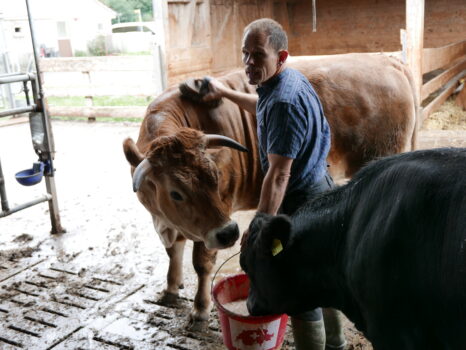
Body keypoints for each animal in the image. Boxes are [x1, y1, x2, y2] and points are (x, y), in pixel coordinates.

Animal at [122, 52, 416, 328]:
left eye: (216, 178)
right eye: (175, 192)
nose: (230, 233)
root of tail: (386, 60)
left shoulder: (219, 212)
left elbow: (201, 262)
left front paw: (200, 310)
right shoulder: (172, 219)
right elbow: (174, 251)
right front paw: (171, 289)